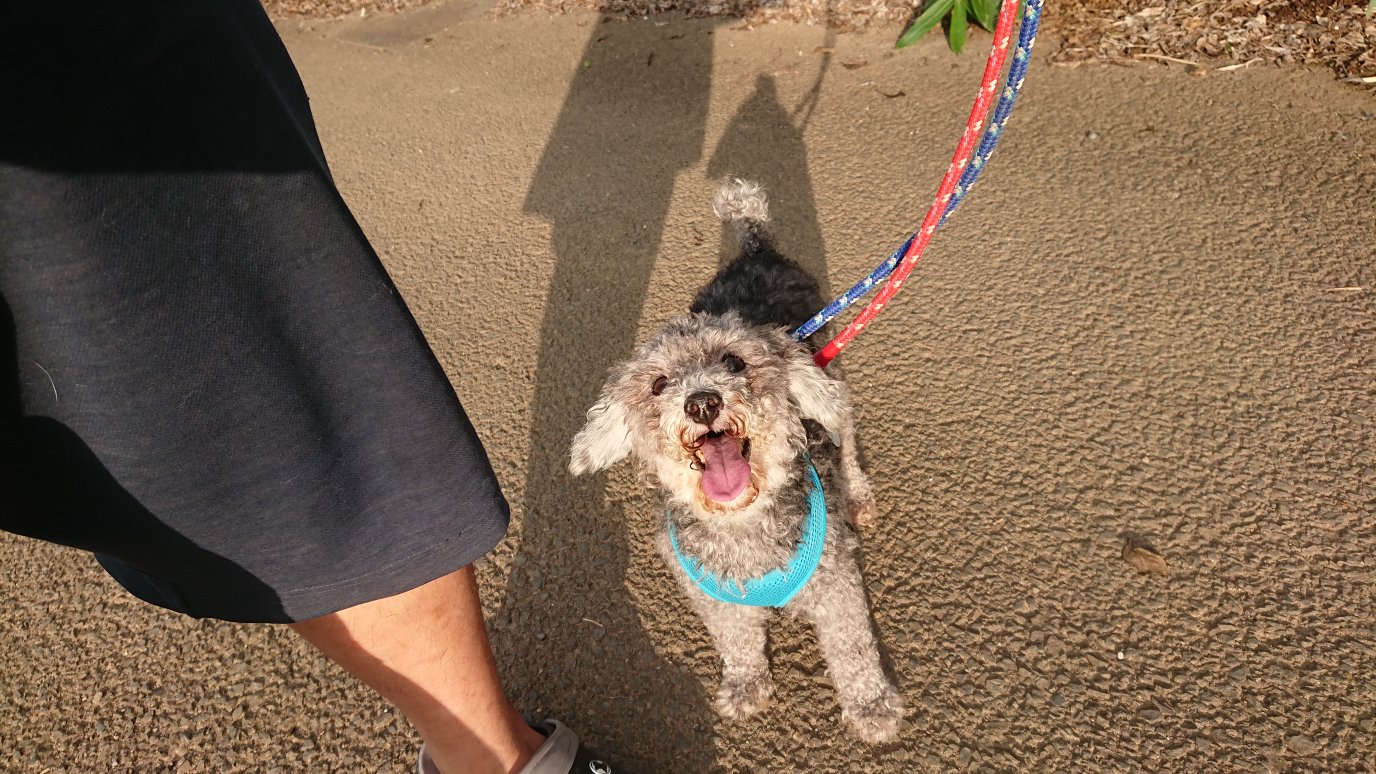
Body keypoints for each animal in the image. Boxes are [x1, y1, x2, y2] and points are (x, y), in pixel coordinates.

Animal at [569, 179, 902, 743]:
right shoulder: (717, 601)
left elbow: (853, 649)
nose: (702, 402)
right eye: (658, 384)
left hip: (832, 379)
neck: (742, 525)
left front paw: (871, 707)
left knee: (847, 437)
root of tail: (755, 250)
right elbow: (738, 643)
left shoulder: (837, 587)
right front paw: (746, 686)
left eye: (734, 361)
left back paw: (858, 495)